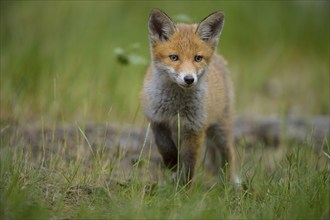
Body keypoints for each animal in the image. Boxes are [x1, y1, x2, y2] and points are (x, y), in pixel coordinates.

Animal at [142, 9, 240, 186]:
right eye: (174, 57)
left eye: (197, 58)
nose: (189, 79)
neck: (176, 107)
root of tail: (219, 57)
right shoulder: (157, 120)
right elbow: (164, 146)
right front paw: (172, 163)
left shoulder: (194, 129)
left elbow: (189, 164)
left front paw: (185, 189)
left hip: (220, 131)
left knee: (229, 154)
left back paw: (233, 182)